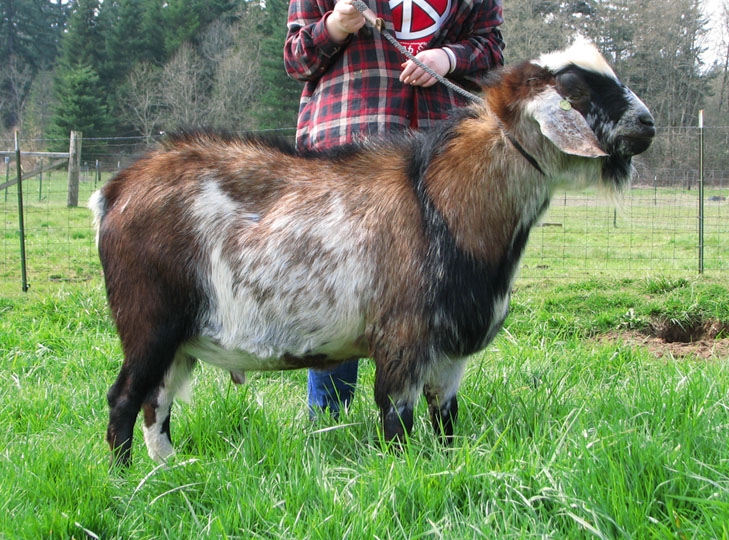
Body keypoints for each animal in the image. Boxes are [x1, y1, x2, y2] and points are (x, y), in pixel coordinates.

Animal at [90, 39, 655, 466]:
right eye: (575, 88)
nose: (647, 123)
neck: (441, 202)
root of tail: (116, 190)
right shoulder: (402, 339)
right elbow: (397, 422)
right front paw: (403, 474)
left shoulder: (448, 352)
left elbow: (446, 420)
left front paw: (447, 468)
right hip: (149, 320)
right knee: (124, 399)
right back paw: (125, 482)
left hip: (180, 339)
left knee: (157, 402)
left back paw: (169, 473)